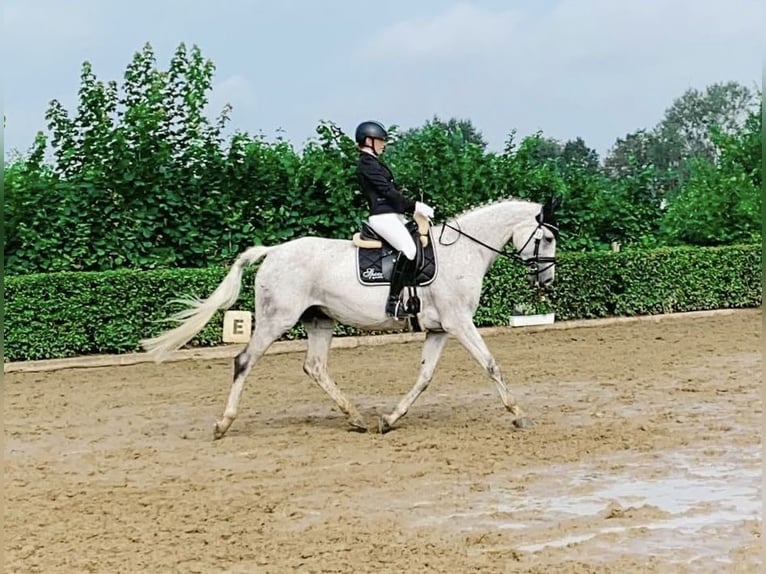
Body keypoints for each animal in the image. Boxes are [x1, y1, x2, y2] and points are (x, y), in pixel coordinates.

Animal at [141, 196, 560, 438]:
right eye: (548, 238)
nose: (547, 279)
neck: (463, 252)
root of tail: (273, 251)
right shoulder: (459, 323)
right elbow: (491, 364)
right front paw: (518, 414)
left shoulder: (440, 329)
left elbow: (424, 377)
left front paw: (390, 419)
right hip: (277, 320)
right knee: (244, 361)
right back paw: (223, 424)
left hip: (319, 320)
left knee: (315, 367)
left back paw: (356, 418)